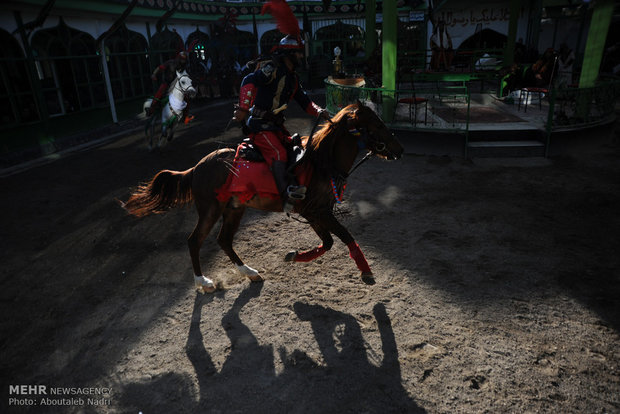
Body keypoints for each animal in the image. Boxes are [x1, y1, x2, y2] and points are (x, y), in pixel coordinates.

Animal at [121, 101, 404, 292]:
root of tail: (197, 168)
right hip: (211, 208)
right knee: (194, 241)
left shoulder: (314, 213)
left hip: (235, 208)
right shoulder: (317, 212)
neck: (320, 162)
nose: (399, 149)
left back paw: (250, 272)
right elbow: (344, 237)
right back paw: (204, 282)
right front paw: (366, 271)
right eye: (377, 124)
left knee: (224, 240)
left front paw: (295, 256)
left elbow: (328, 242)